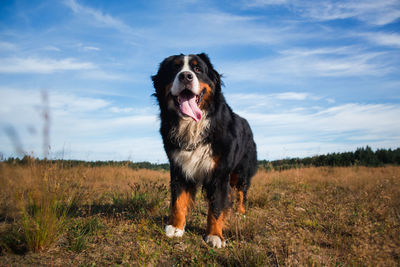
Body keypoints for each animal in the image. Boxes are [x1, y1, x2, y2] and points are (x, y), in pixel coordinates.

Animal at [152, 52, 258, 249]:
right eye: (175, 68)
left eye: (197, 69)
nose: (185, 76)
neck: (193, 126)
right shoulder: (179, 167)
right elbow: (178, 201)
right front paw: (176, 227)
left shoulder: (220, 172)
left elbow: (216, 206)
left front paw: (215, 235)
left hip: (241, 171)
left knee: (241, 192)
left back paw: (240, 212)